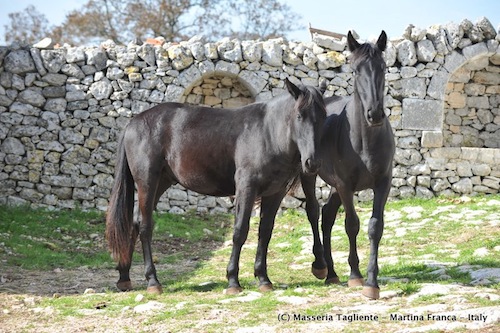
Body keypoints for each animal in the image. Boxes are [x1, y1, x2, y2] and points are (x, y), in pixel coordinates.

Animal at [105, 78, 328, 294]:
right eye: (299, 115)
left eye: (324, 116)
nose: (312, 163)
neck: (267, 133)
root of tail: (133, 123)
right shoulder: (246, 188)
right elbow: (240, 231)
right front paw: (233, 281)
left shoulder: (275, 193)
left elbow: (265, 233)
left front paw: (263, 279)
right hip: (147, 182)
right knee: (145, 227)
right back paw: (153, 281)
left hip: (161, 182)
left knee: (135, 222)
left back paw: (124, 276)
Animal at [300, 31, 394, 300]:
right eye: (355, 70)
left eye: (383, 67)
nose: (375, 114)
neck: (363, 140)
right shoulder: (345, 185)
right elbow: (352, 225)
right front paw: (355, 275)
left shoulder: (383, 183)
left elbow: (375, 227)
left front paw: (372, 282)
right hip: (310, 174)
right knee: (314, 212)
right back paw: (321, 266)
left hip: (335, 187)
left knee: (327, 216)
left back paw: (332, 273)